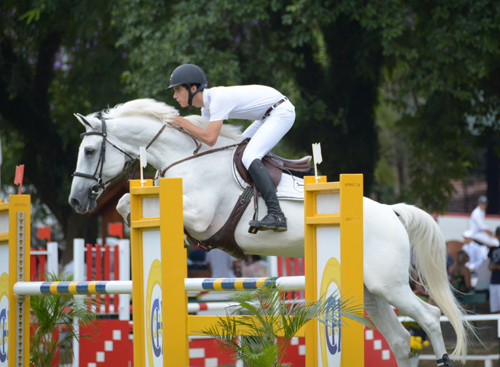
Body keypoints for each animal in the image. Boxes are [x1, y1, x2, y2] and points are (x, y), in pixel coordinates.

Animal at [68, 99, 470, 366]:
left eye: (89, 150)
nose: (75, 201)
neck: (188, 160)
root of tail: (391, 212)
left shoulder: (201, 214)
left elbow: (146, 210)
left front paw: (184, 239)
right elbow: (125, 205)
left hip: (390, 285)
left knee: (429, 318)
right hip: (371, 291)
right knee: (401, 341)